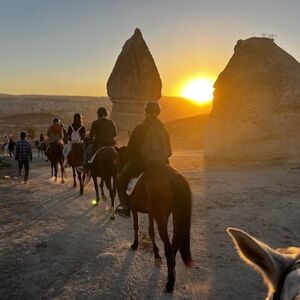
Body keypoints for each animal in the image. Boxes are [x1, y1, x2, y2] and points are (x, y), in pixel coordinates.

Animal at [117, 148, 192, 292]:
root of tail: (173, 176)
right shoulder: (151, 212)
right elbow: (151, 232)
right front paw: (156, 254)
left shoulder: (134, 209)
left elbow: (136, 226)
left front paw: (135, 244)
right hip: (171, 215)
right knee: (174, 243)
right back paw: (172, 270)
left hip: (161, 217)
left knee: (168, 247)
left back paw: (170, 282)